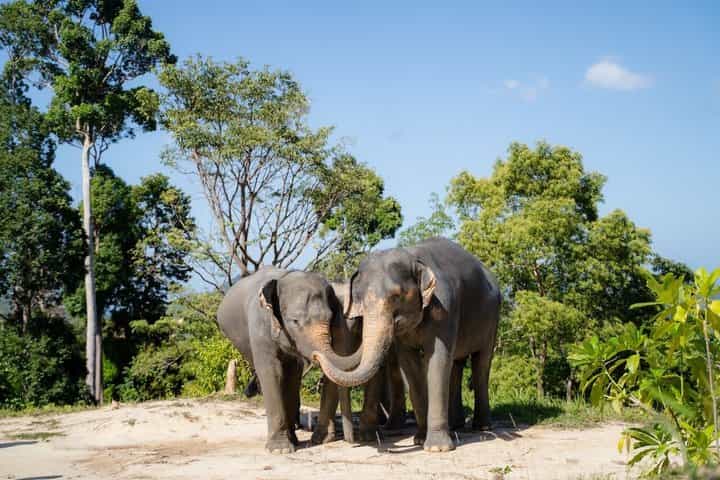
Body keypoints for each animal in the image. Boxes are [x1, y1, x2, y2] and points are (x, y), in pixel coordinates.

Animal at [216, 267, 360, 453]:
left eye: (329, 319)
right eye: (295, 321)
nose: (352, 442)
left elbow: (292, 374)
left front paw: (295, 442)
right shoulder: (260, 326)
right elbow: (272, 371)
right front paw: (280, 450)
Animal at [313, 237, 501, 452]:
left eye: (396, 296)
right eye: (359, 299)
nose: (316, 355)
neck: (413, 256)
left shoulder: (445, 307)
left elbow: (437, 359)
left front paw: (437, 448)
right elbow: (409, 366)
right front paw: (419, 439)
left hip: (493, 317)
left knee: (481, 364)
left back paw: (482, 427)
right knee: (457, 364)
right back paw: (456, 425)